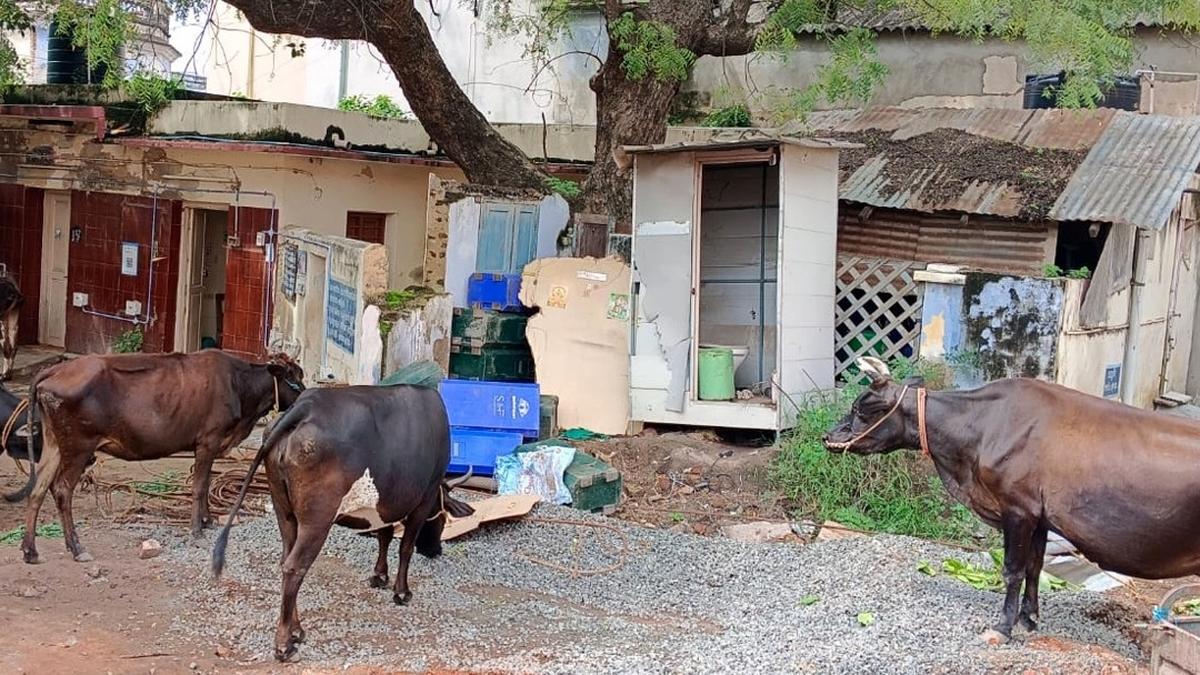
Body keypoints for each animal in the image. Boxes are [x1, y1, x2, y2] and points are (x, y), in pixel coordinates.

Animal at [18, 349, 305, 565]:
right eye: (292, 378)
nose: (306, 396)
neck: (240, 387)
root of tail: (56, 370)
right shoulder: (208, 440)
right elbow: (199, 487)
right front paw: (197, 530)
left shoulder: (208, 445)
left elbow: (206, 483)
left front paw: (208, 521)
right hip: (79, 446)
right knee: (61, 490)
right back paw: (77, 548)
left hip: (54, 444)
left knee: (38, 489)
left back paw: (30, 550)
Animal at [212, 384, 475, 662]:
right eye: (443, 517)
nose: (436, 550)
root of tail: (305, 405)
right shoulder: (422, 500)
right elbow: (405, 547)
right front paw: (401, 592)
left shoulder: (385, 502)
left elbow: (384, 535)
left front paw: (379, 576)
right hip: (317, 520)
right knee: (295, 567)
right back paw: (284, 644)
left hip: (284, 512)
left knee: (286, 560)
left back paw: (296, 630)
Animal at [823, 356, 1200, 645]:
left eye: (863, 409)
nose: (827, 436)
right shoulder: (1040, 515)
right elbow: (1035, 566)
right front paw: (1028, 618)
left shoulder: (1017, 509)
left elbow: (1013, 570)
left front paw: (1002, 628)